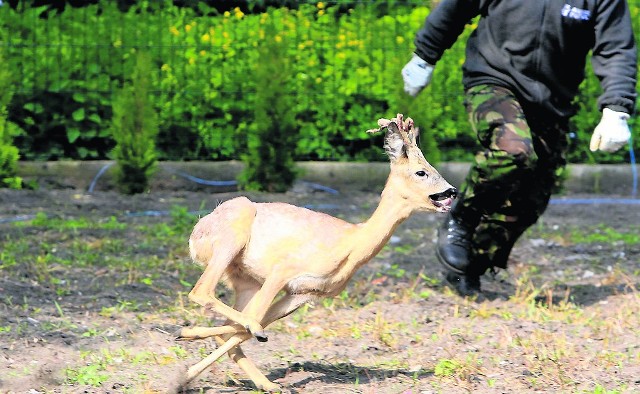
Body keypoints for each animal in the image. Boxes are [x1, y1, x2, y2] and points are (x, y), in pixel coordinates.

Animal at [178, 114, 458, 390]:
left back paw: (263, 382)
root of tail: (195, 236)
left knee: (230, 323)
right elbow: (250, 322)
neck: (352, 243)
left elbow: (242, 328)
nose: (452, 191)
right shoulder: (283, 268)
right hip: (233, 235)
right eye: (421, 172)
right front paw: (185, 354)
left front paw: (186, 363)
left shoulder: (306, 292)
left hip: (246, 280)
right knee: (203, 292)